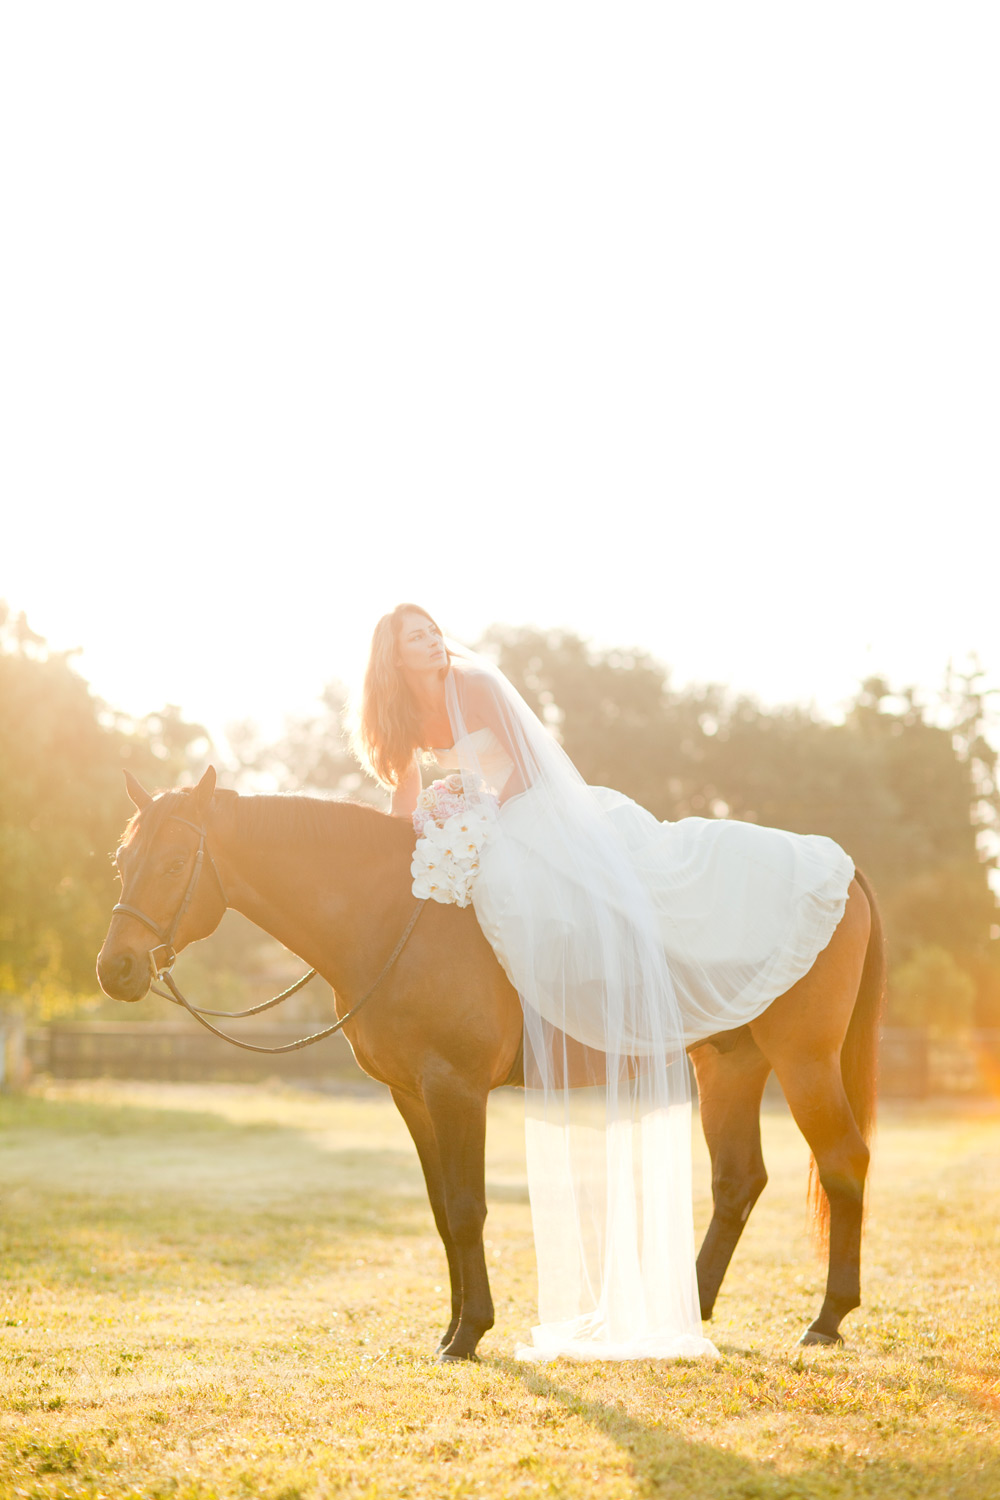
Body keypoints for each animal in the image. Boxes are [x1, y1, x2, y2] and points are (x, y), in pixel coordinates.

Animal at [97, 768, 887, 1368]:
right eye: (121, 863)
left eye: (174, 865)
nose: (116, 969)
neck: (398, 915)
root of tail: (841, 872)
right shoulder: (413, 1097)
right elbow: (444, 1212)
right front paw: (453, 1328)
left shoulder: (457, 1089)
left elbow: (468, 1207)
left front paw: (469, 1334)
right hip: (730, 1064)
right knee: (737, 1181)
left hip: (803, 1063)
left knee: (844, 1163)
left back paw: (827, 1319)